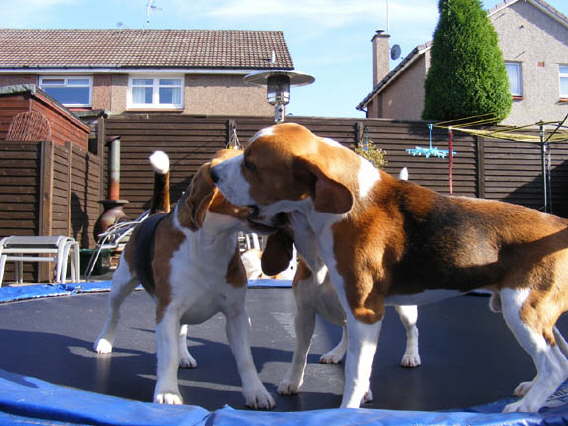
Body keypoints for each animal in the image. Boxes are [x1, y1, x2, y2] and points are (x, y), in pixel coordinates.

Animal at [95, 149, 276, 410]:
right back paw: (104, 341)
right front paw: (168, 392)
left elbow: (246, 359)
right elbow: (167, 355)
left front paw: (256, 391)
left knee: (181, 332)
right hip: (122, 283)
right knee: (114, 314)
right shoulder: (168, 311)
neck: (211, 242)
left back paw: (184, 355)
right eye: (250, 168)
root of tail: (156, 214)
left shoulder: (237, 315)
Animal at [211, 122, 568, 412]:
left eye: (250, 164)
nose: (213, 174)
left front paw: (347, 411)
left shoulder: (364, 312)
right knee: (561, 356)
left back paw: (527, 405)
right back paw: (532, 389)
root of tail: (559, 223)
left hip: (520, 309)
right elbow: (306, 352)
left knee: (554, 366)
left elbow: (356, 373)